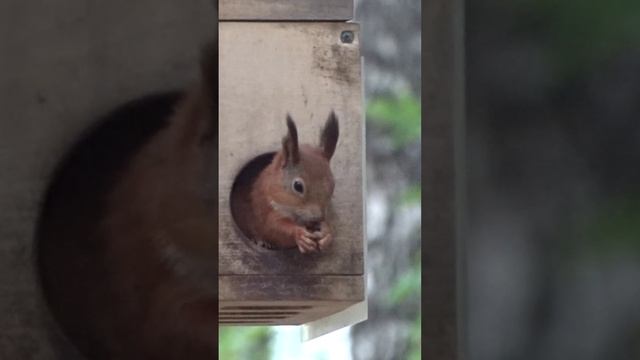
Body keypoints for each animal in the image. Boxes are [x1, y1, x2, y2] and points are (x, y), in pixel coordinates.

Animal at [249, 114, 340, 253]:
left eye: (333, 185)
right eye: (298, 186)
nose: (317, 218)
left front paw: (326, 233)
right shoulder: (266, 210)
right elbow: (274, 228)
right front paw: (299, 234)